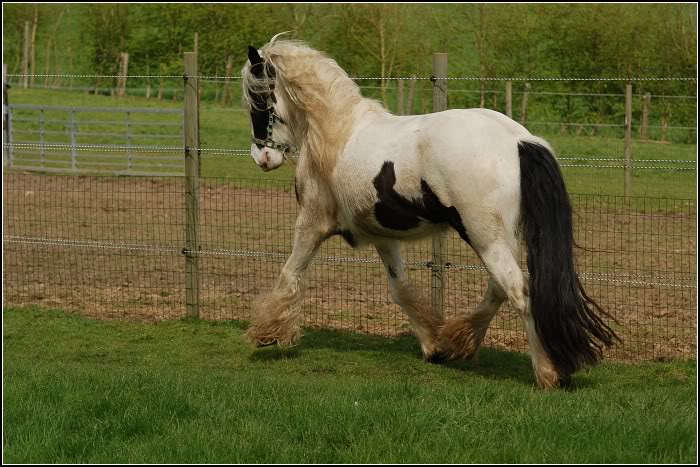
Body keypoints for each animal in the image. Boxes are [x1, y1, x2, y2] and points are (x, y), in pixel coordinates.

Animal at [241, 36, 616, 390]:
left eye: (259, 99)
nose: (262, 158)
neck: (338, 132)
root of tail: (519, 141)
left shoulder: (312, 224)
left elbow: (290, 273)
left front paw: (268, 333)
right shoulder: (383, 237)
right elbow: (401, 289)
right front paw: (433, 345)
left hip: (484, 237)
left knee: (518, 291)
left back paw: (547, 372)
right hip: (501, 237)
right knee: (498, 289)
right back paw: (460, 341)